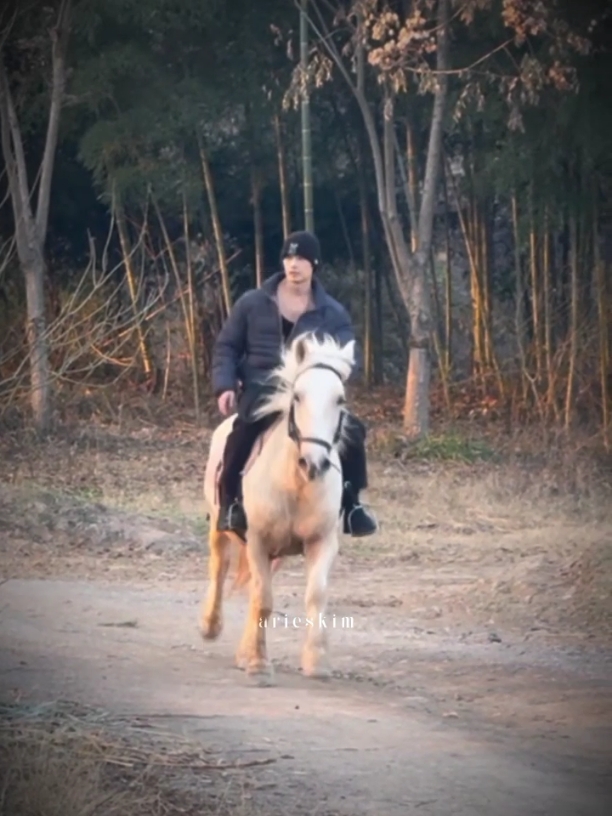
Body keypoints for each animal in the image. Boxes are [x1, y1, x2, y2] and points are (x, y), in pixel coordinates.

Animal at [198, 332, 356, 684]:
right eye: (297, 396)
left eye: (339, 400)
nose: (314, 463)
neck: (295, 483)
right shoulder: (256, 540)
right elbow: (263, 600)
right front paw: (258, 662)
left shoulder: (322, 542)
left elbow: (315, 596)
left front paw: (316, 661)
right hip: (218, 527)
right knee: (219, 568)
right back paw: (210, 626)